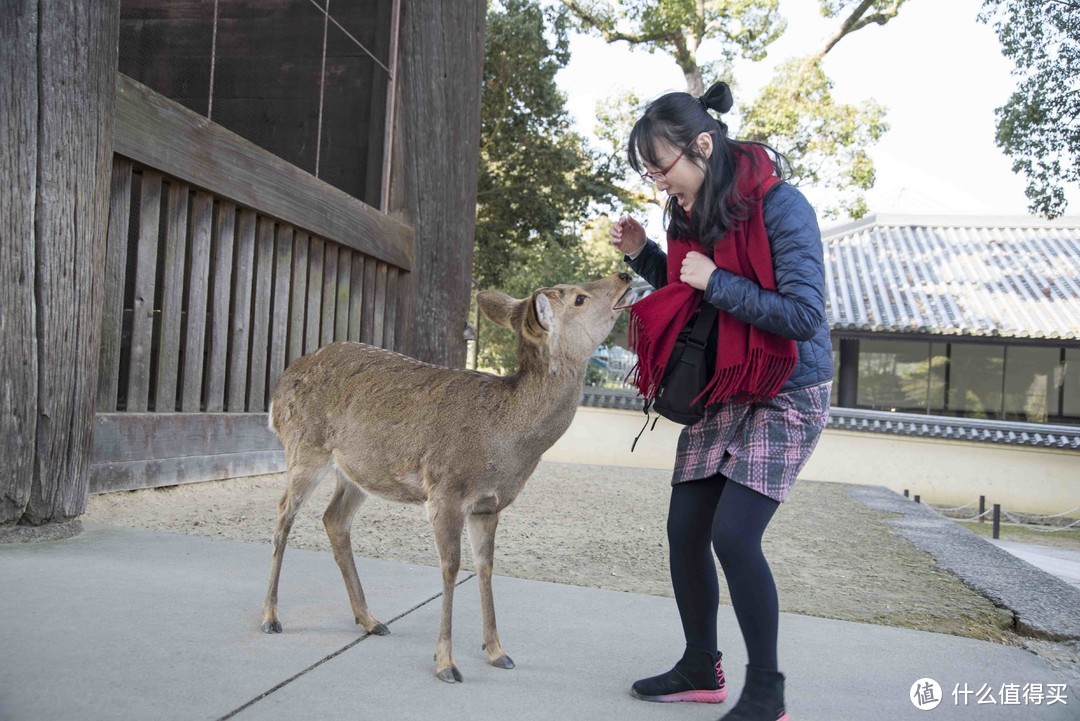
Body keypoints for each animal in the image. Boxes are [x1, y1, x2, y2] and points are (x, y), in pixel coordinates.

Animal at [260, 269, 630, 682]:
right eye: (579, 297)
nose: (624, 275)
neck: (507, 441)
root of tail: (276, 394)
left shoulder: (488, 506)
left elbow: (485, 566)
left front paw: (498, 652)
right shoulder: (446, 491)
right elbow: (451, 568)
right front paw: (446, 663)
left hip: (357, 471)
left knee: (333, 519)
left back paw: (370, 620)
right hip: (305, 448)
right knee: (283, 514)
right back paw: (271, 617)